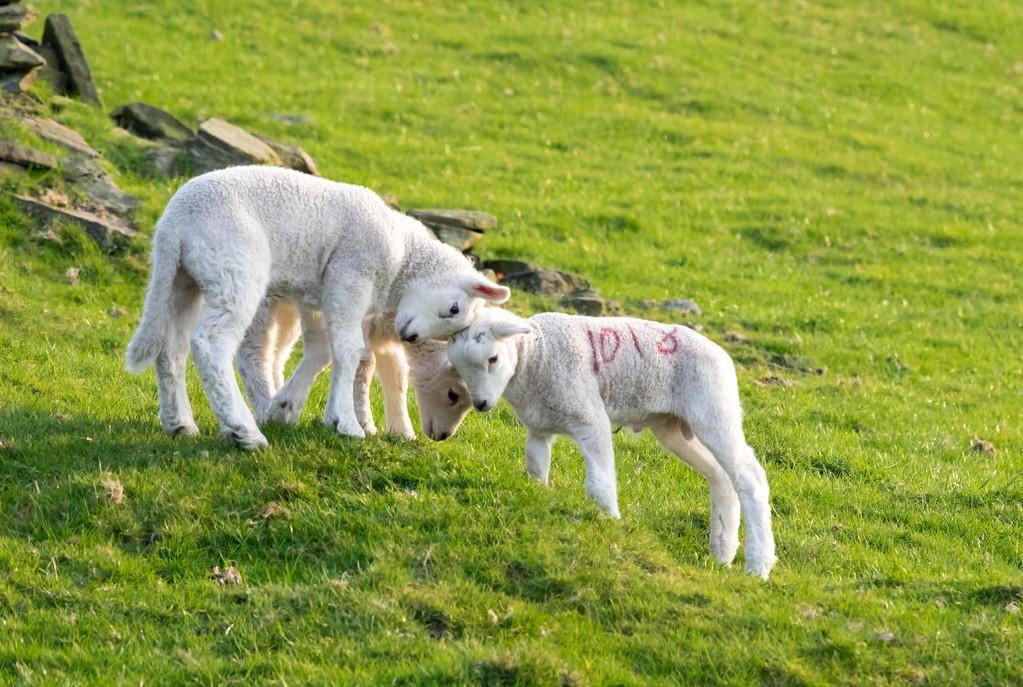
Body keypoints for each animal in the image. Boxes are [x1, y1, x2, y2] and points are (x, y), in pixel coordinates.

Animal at [235, 298, 470, 439]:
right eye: (453, 394)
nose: (443, 436)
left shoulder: (384, 335)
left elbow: (396, 376)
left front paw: (402, 432)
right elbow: (363, 365)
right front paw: (364, 423)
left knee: (277, 355)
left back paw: (280, 401)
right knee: (253, 350)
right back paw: (265, 407)